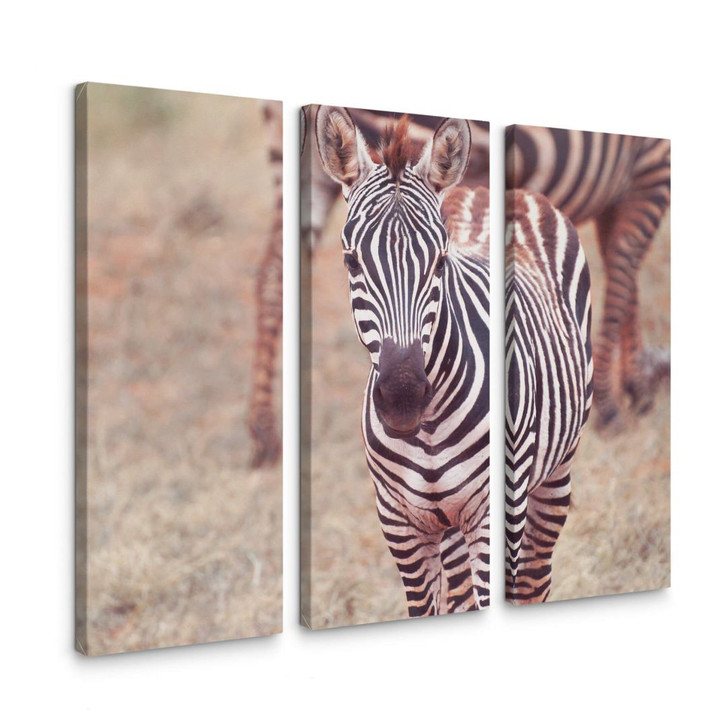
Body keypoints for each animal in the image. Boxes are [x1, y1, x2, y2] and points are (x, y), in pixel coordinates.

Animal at [506, 125, 670, 429]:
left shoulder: (617, 195)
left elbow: (620, 267)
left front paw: (633, 383)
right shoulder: (654, 169)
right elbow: (623, 265)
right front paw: (610, 405)